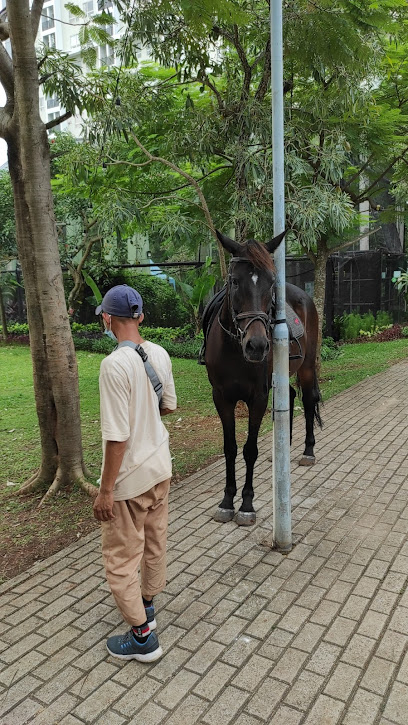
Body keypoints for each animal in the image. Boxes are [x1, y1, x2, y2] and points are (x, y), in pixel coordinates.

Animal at [204, 232, 322, 528]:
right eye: (235, 281)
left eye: (271, 283)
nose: (257, 345)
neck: (234, 350)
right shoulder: (221, 397)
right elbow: (230, 448)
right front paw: (227, 501)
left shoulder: (257, 396)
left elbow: (250, 450)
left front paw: (246, 505)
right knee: (290, 395)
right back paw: (284, 448)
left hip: (306, 368)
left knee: (309, 399)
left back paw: (308, 451)